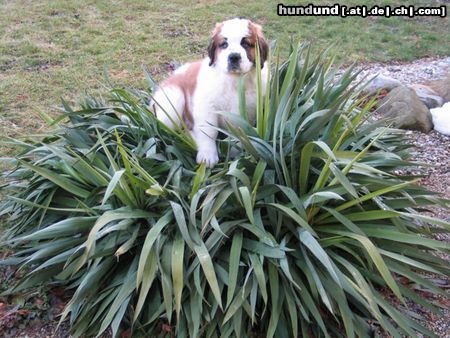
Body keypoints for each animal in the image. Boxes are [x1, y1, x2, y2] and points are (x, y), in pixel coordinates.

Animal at [153, 17, 268, 168]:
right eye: (224, 44)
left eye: (245, 44)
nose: (234, 57)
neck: (234, 80)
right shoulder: (206, 106)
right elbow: (208, 131)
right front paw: (207, 155)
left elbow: (240, 132)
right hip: (172, 103)